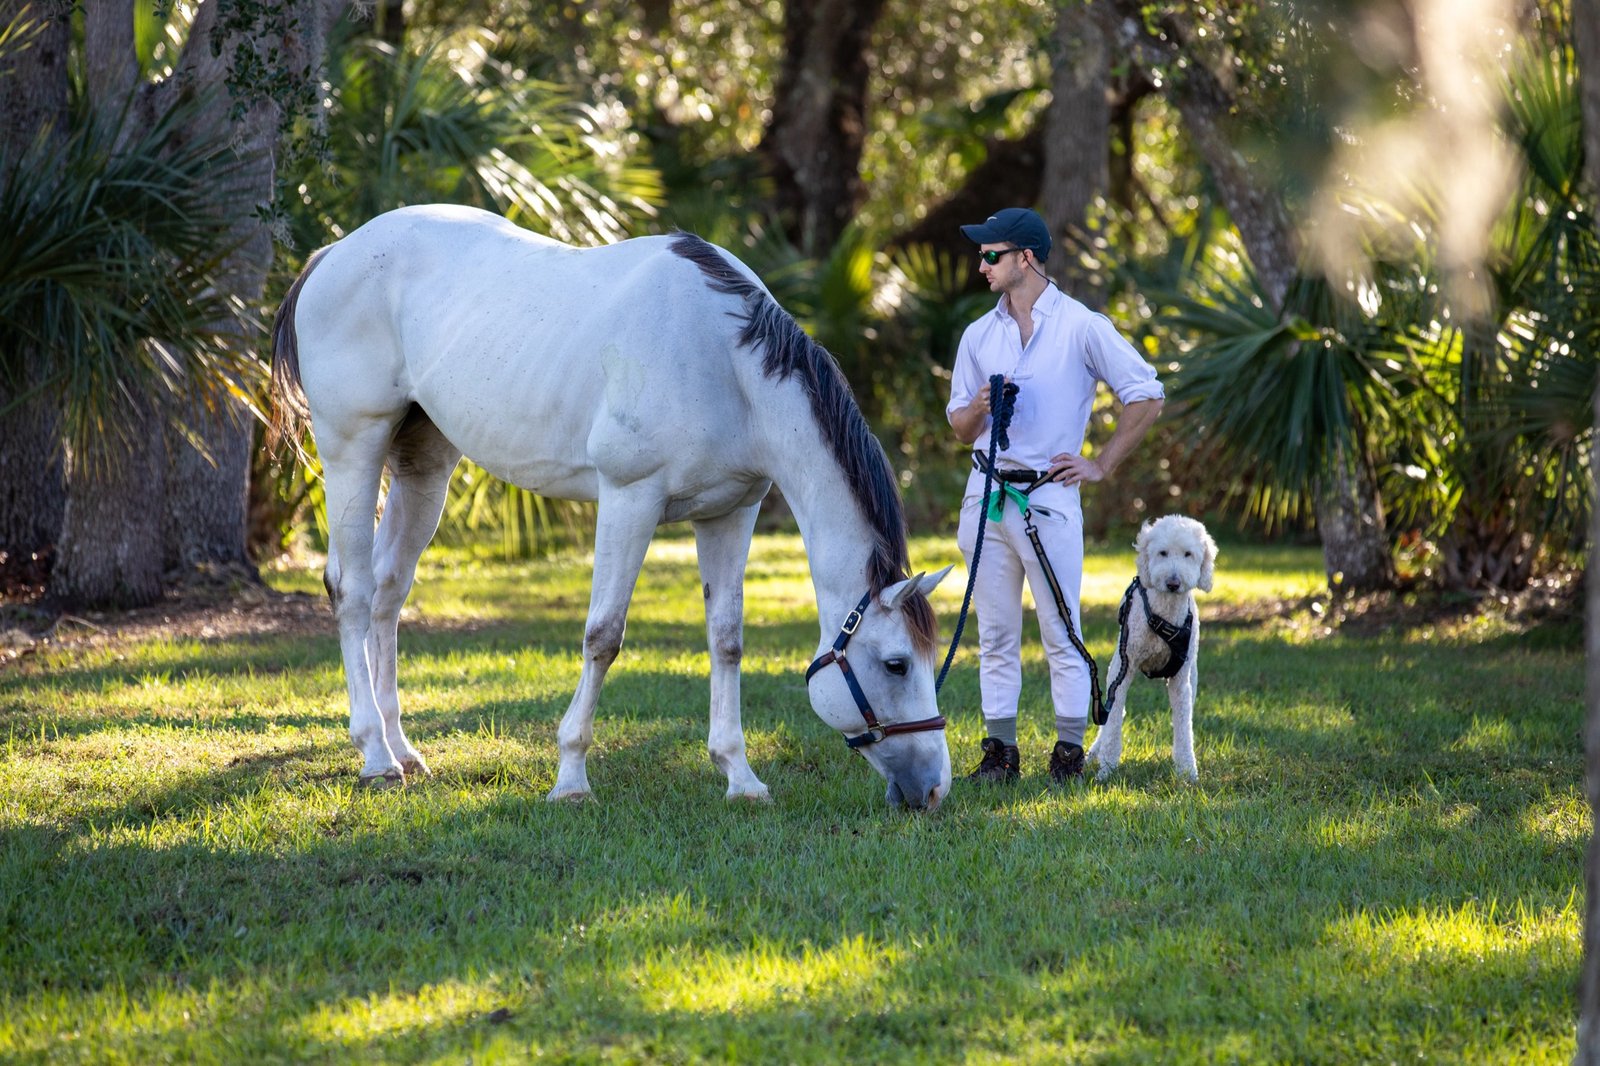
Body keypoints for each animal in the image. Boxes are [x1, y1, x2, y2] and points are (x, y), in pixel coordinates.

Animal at [269, 204, 953, 809]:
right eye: (896, 665)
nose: (935, 788)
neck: (723, 363)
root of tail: (336, 252)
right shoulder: (629, 500)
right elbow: (603, 636)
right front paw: (571, 778)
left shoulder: (730, 514)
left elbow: (726, 640)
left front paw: (740, 776)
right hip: (353, 449)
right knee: (352, 591)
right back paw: (374, 756)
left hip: (423, 466)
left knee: (389, 591)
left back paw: (403, 748)